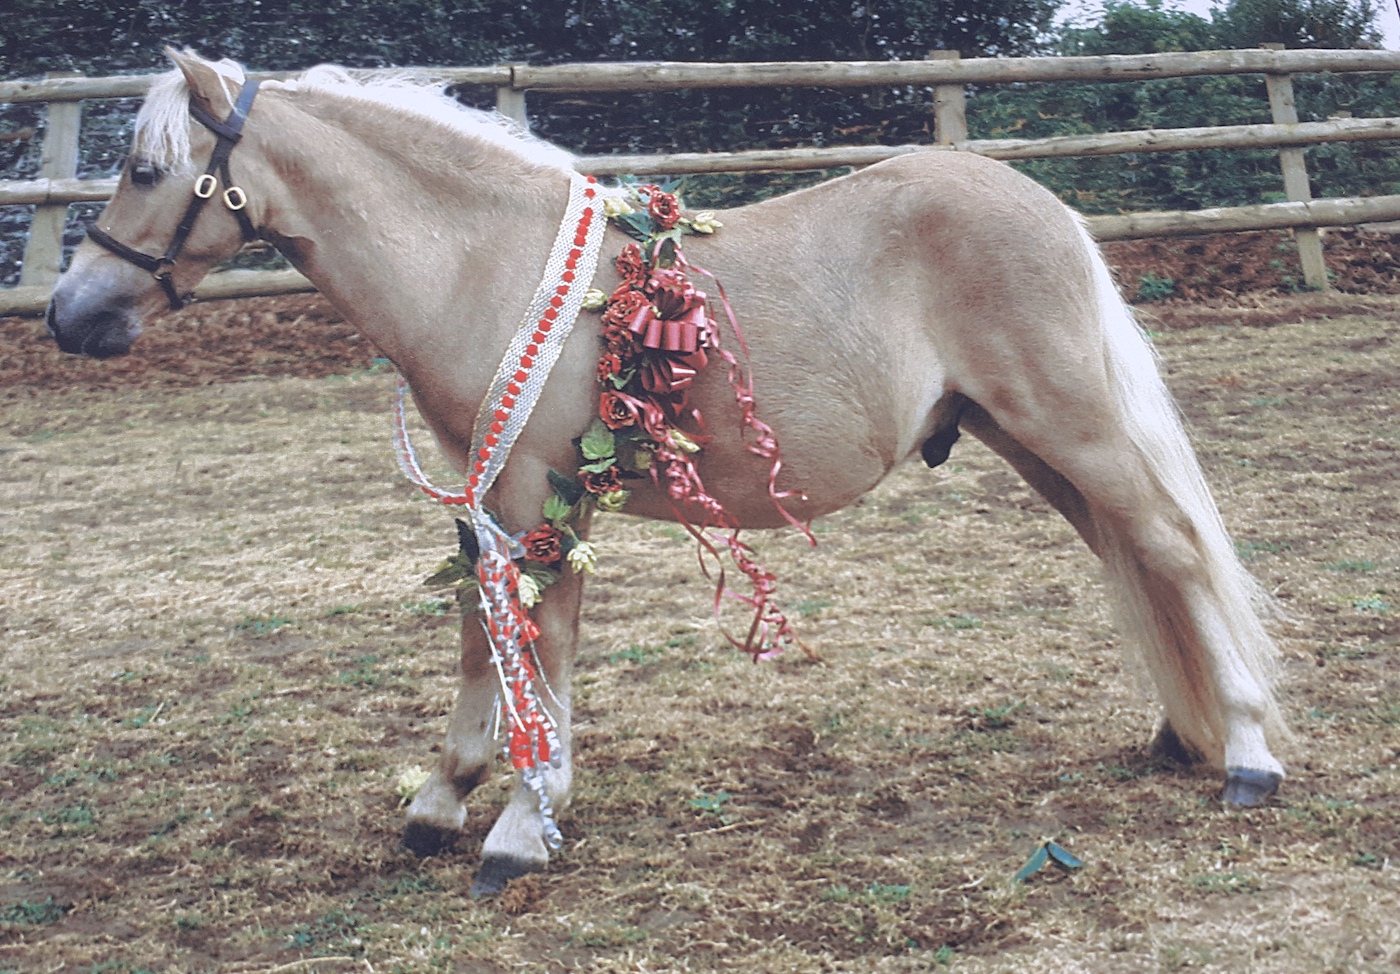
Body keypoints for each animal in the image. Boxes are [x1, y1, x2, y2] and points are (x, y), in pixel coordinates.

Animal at [46, 49, 1290, 897]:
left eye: (146, 167)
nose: (67, 317)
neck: (482, 261)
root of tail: (1048, 208)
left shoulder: (534, 494)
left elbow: (538, 646)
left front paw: (521, 825)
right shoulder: (481, 503)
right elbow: (480, 640)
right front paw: (441, 800)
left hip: (1068, 424)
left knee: (1172, 547)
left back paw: (1244, 753)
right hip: (1027, 439)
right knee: (1136, 556)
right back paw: (1181, 734)